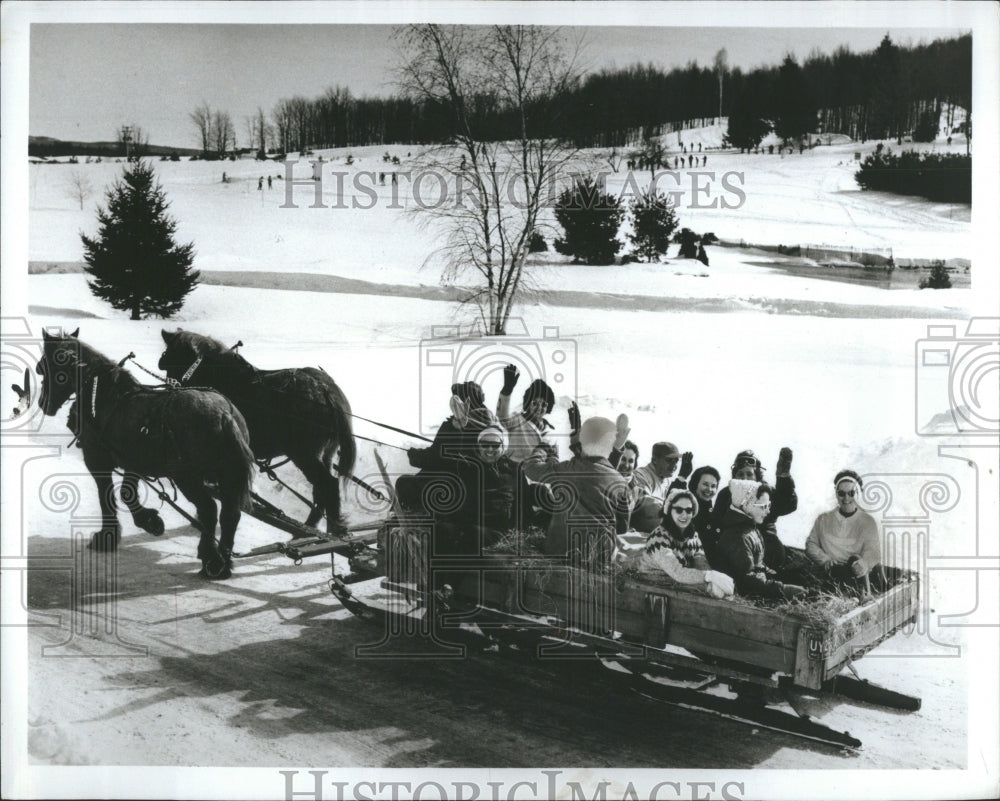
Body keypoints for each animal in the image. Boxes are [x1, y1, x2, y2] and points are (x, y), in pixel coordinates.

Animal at [37, 328, 258, 580]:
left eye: (44, 366)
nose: (43, 403)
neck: (102, 396)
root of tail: (225, 415)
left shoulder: (97, 460)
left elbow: (106, 496)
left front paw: (108, 536)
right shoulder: (132, 461)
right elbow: (127, 493)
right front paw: (151, 522)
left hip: (187, 477)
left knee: (209, 510)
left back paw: (211, 559)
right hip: (227, 476)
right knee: (230, 515)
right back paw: (223, 564)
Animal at [158, 328, 358, 536]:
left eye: (169, 359)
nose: (172, 389)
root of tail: (326, 391)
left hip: (305, 454)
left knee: (328, 485)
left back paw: (331, 528)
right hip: (325, 453)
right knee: (320, 491)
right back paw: (314, 525)